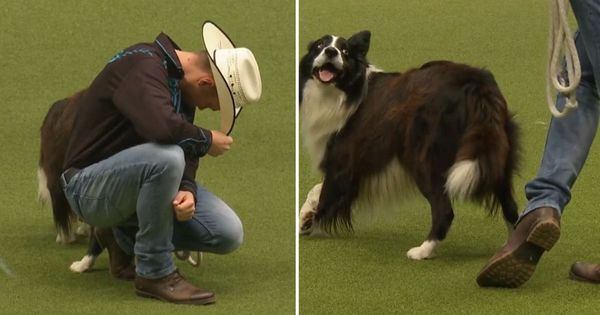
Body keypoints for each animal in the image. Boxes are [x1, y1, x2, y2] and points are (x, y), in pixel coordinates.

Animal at [298, 30, 520, 260]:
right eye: (320, 45)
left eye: (345, 51)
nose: (330, 52)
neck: (345, 92)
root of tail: (476, 84)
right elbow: (317, 189)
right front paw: (306, 218)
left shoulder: (343, 159)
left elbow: (326, 191)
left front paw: (307, 223)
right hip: (493, 154)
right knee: (511, 207)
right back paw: (511, 247)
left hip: (425, 159)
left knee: (444, 210)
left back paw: (422, 251)